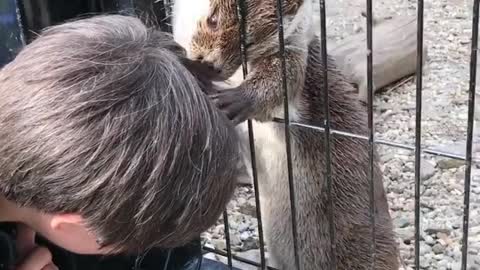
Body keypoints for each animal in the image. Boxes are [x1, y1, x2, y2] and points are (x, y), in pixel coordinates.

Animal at [172, 1, 398, 268]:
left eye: (248, 43)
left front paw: (236, 99)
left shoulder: (295, 48)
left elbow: (282, 76)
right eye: (213, 20)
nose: (211, 64)